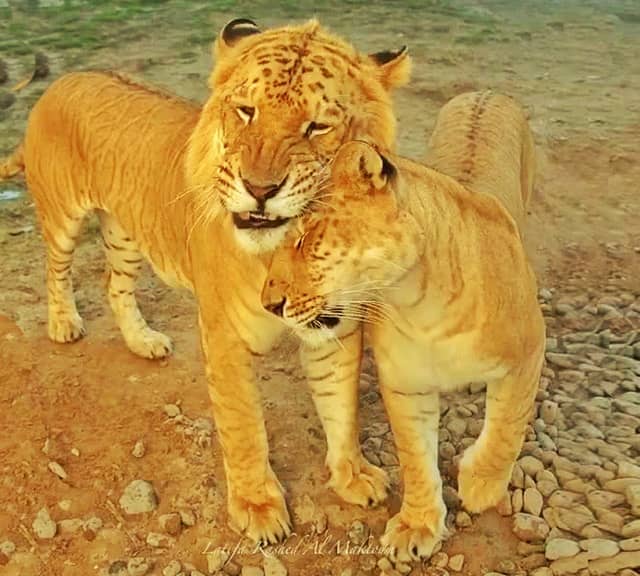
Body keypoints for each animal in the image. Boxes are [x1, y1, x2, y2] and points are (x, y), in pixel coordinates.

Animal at [0, 16, 410, 540]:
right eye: (246, 112)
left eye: (318, 126)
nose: (259, 190)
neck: (285, 243)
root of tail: (67, 78)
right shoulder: (225, 334)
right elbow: (244, 426)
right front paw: (257, 506)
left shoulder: (336, 327)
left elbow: (342, 405)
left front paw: (353, 476)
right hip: (64, 216)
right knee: (55, 267)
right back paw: (63, 324)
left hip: (128, 233)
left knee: (115, 286)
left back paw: (143, 342)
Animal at [262, 92, 544, 560]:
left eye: (305, 239)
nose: (269, 305)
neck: (421, 302)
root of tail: (484, 93)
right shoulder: (405, 384)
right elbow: (415, 457)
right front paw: (417, 525)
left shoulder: (528, 352)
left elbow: (508, 426)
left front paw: (481, 486)